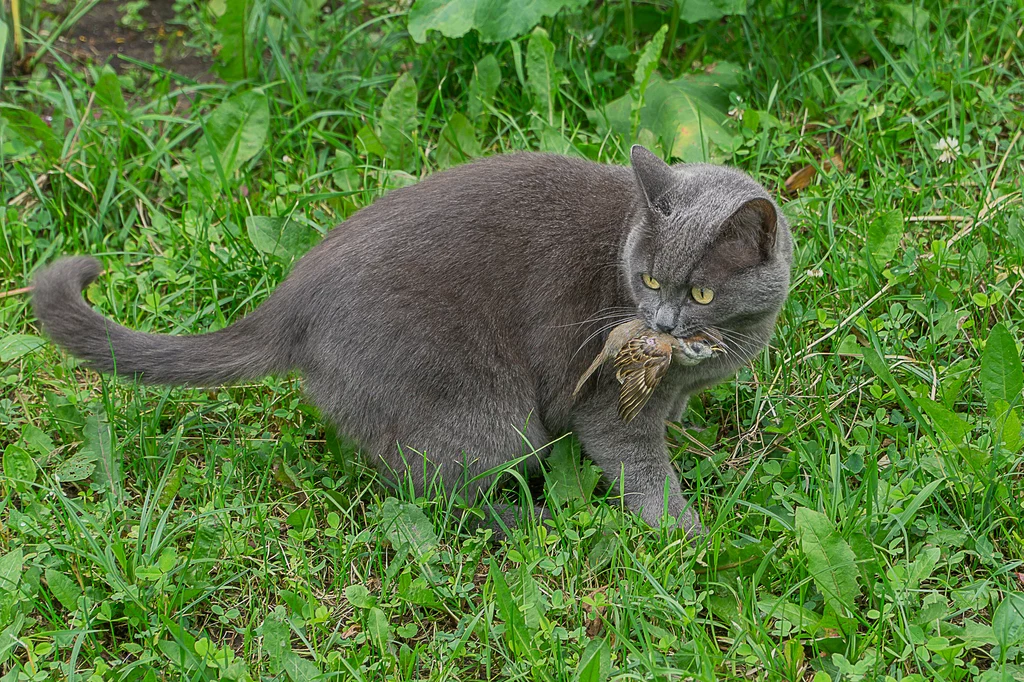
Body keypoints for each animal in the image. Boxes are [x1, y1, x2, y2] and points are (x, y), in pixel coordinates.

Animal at [29, 146, 790, 532]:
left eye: (699, 294)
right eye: (649, 279)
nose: (659, 325)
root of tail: (290, 300)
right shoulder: (606, 406)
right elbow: (643, 472)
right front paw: (694, 545)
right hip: (492, 422)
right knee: (434, 492)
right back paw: (528, 522)